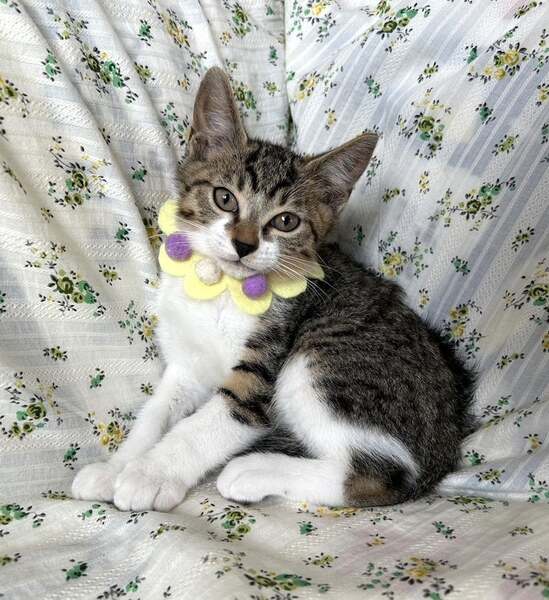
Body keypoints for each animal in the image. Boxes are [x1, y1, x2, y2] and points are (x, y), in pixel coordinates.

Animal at [72, 67, 475, 512]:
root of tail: (446, 439)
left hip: (321, 357)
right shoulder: (186, 364)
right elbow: (156, 412)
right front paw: (115, 467)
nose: (244, 245)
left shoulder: (261, 371)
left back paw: (253, 471)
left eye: (285, 221)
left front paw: (150, 473)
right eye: (224, 198)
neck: (222, 290)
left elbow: (209, 422)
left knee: (382, 476)